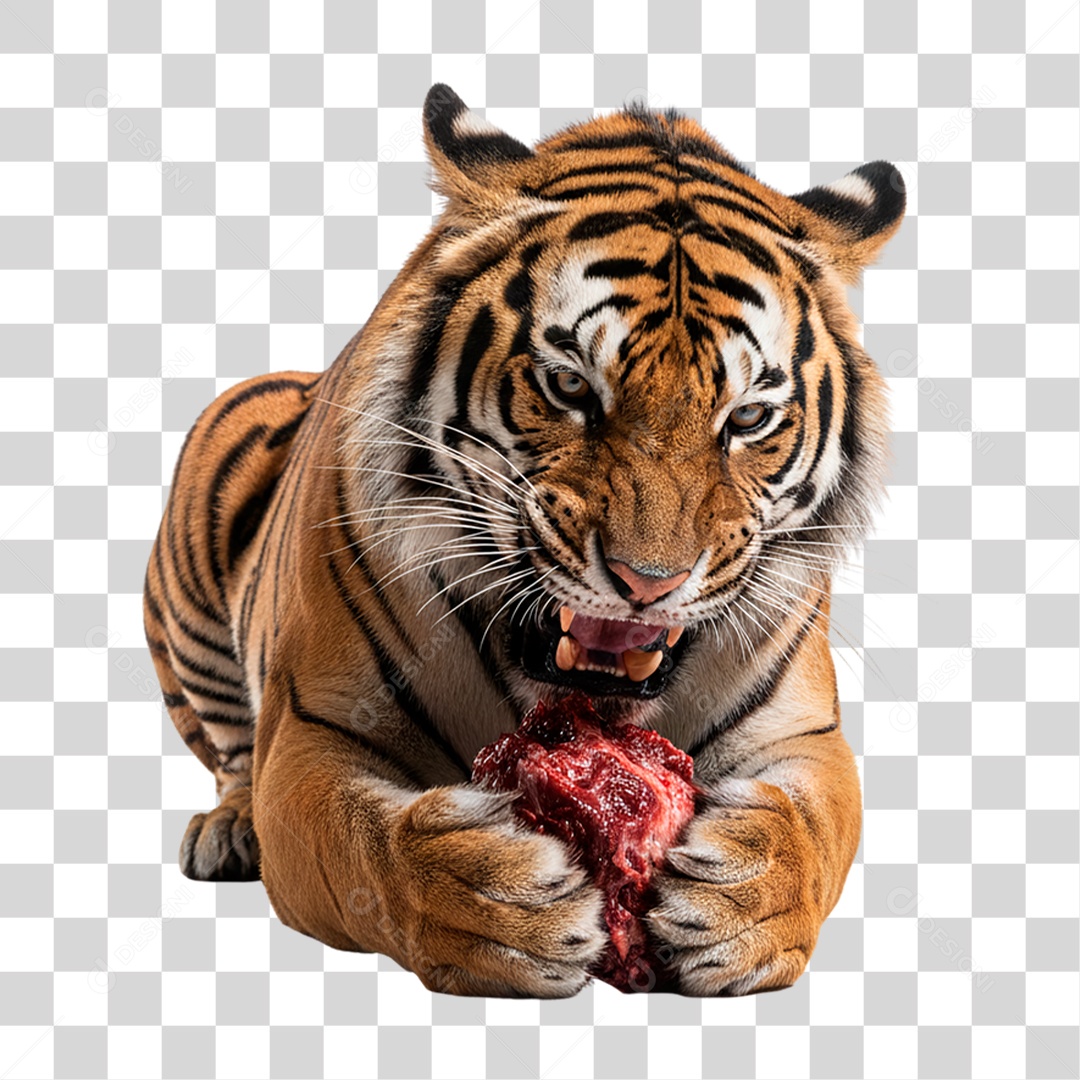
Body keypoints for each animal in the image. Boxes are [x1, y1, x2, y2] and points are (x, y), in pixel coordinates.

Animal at [144, 83, 904, 998]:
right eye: (570, 386)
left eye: (748, 417)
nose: (648, 582)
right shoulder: (310, 734)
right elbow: (367, 846)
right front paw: (494, 902)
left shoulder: (806, 738)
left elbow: (811, 833)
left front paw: (741, 900)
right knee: (228, 750)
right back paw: (226, 830)